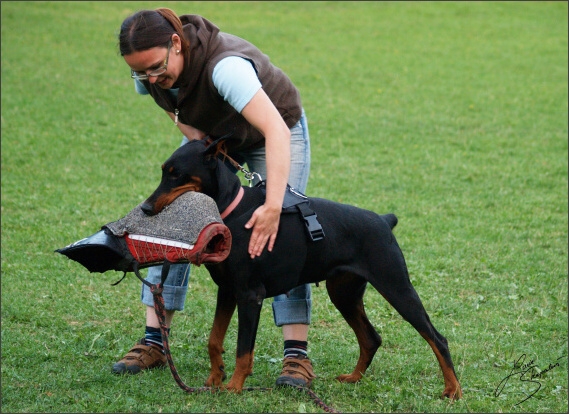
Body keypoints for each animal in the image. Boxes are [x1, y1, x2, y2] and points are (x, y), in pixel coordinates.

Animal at [141, 139, 462, 402]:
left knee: (437, 338)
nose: (145, 208)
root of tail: (384, 220)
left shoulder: (250, 294)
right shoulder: (228, 290)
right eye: (163, 171)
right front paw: (213, 380)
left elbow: (243, 349)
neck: (231, 211)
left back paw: (452, 390)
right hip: (344, 293)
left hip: (395, 285)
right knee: (371, 338)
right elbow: (214, 340)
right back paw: (353, 378)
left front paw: (233, 387)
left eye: (176, 173)